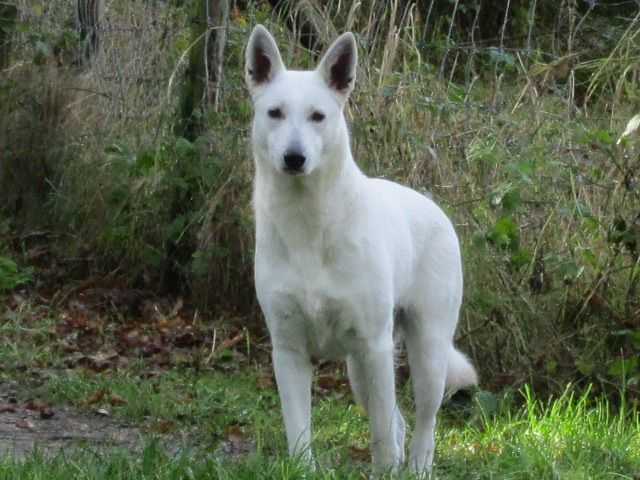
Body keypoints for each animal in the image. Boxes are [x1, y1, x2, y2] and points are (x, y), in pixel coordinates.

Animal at [245, 25, 476, 472]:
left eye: (318, 116)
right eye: (275, 113)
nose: (294, 158)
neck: (308, 225)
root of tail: (437, 211)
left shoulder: (374, 346)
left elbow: (382, 438)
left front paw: (384, 471)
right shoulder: (288, 351)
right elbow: (299, 432)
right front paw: (304, 471)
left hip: (426, 354)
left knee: (423, 426)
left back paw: (417, 469)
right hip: (358, 371)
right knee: (399, 421)